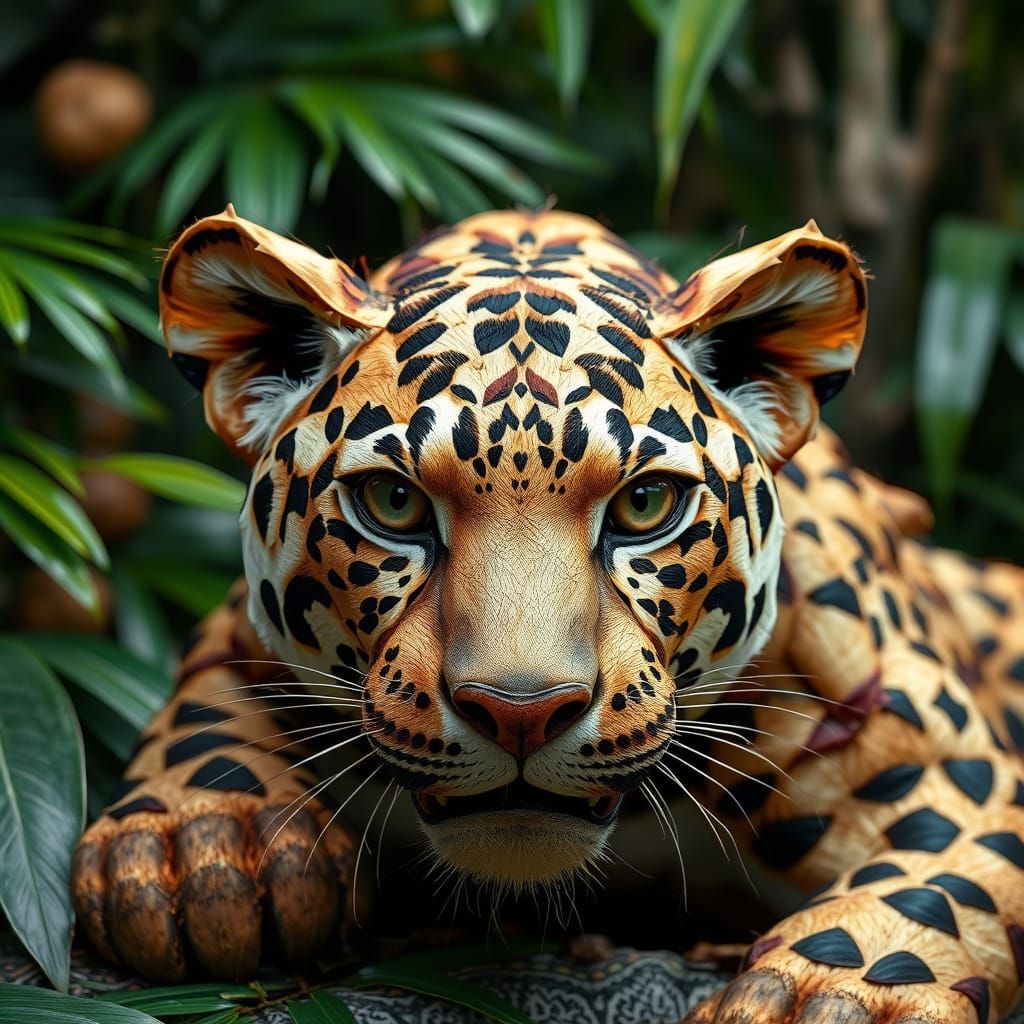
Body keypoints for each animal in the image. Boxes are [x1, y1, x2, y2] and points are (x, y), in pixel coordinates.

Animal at [72, 205, 1024, 1024]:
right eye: (392, 503)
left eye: (646, 505)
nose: (521, 713)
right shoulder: (242, 635)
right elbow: (203, 714)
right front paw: (197, 846)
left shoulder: (949, 755)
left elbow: (936, 886)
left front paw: (837, 995)